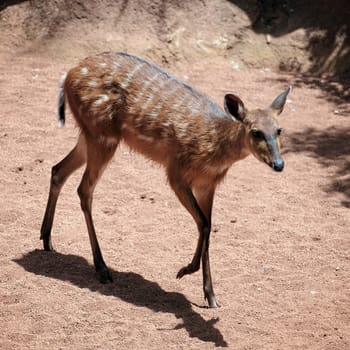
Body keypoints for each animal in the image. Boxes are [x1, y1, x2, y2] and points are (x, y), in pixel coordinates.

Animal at [41, 51, 292, 306]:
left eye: (279, 130)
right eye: (256, 132)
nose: (279, 164)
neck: (214, 149)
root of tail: (69, 73)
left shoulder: (207, 185)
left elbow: (209, 225)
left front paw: (211, 296)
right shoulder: (176, 174)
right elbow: (203, 223)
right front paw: (184, 271)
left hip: (89, 135)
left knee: (57, 170)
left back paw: (47, 240)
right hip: (102, 137)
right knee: (84, 189)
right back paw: (102, 269)